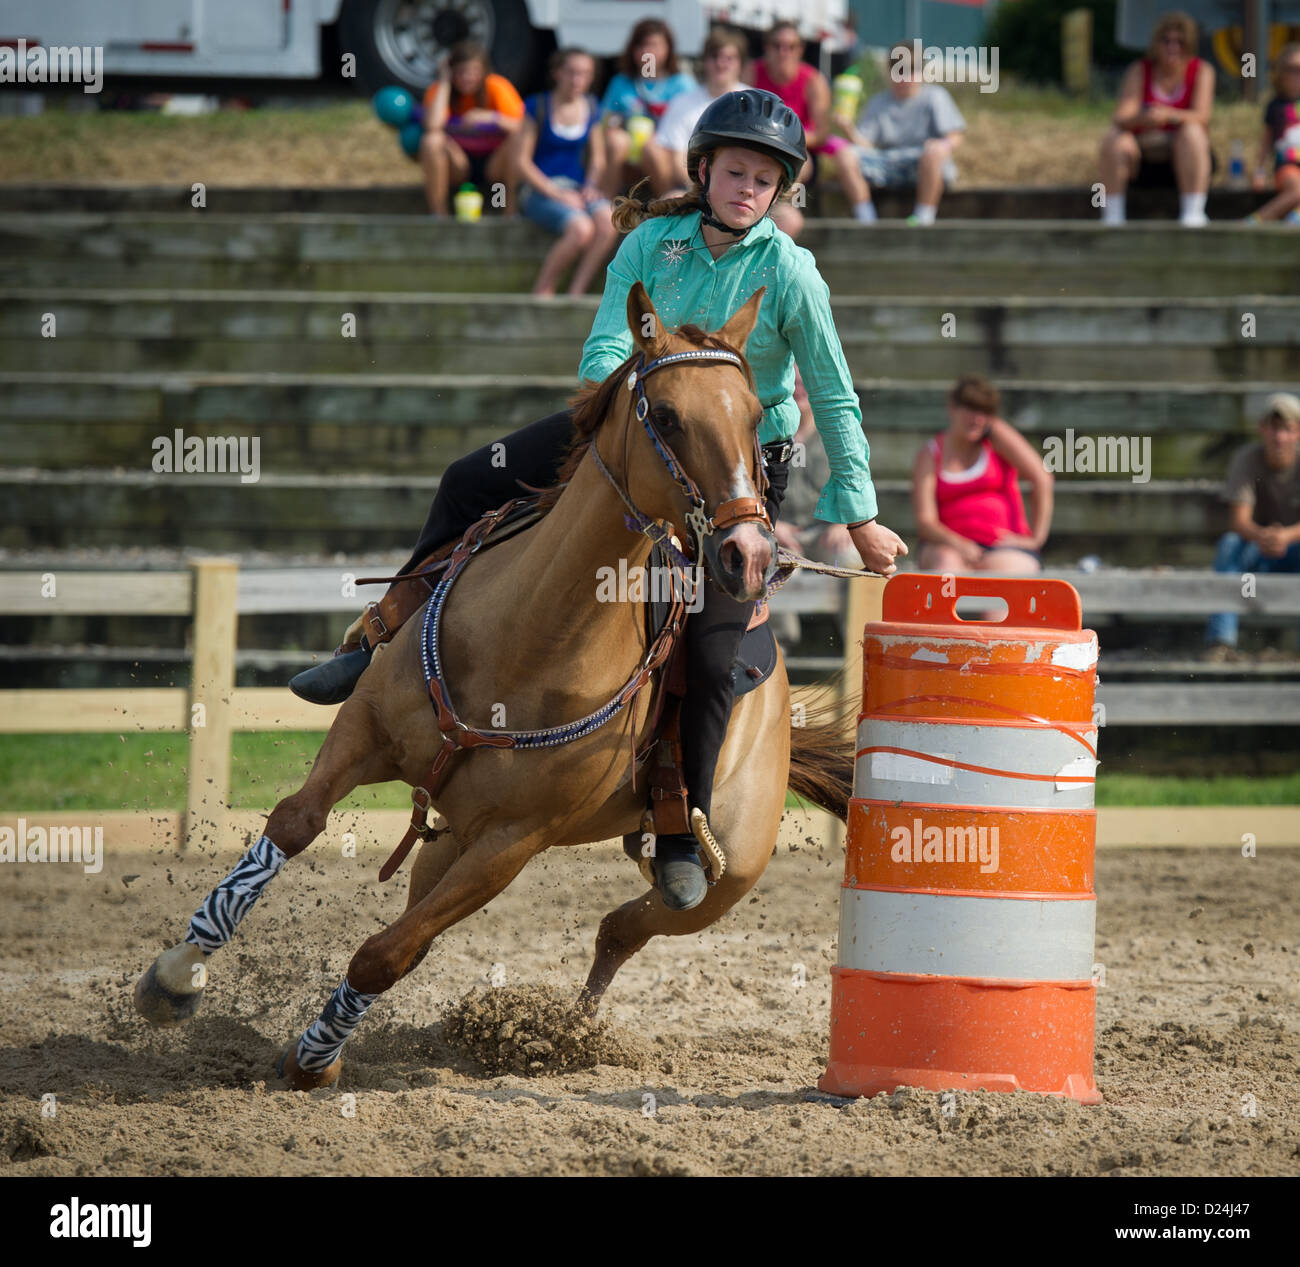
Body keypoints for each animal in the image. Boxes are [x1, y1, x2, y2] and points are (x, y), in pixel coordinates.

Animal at [131, 279, 852, 1091]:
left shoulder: (511, 844)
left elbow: (383, 953)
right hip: (451, 836)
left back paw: (568, 1031)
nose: (749, 553)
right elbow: (294, 824)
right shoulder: (365, 734)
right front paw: (175, 976)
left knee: (620, 925)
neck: (528, 637)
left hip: (726, 874)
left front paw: (315, 1059)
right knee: (461, 918)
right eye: (665, 414)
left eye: (757, 417)